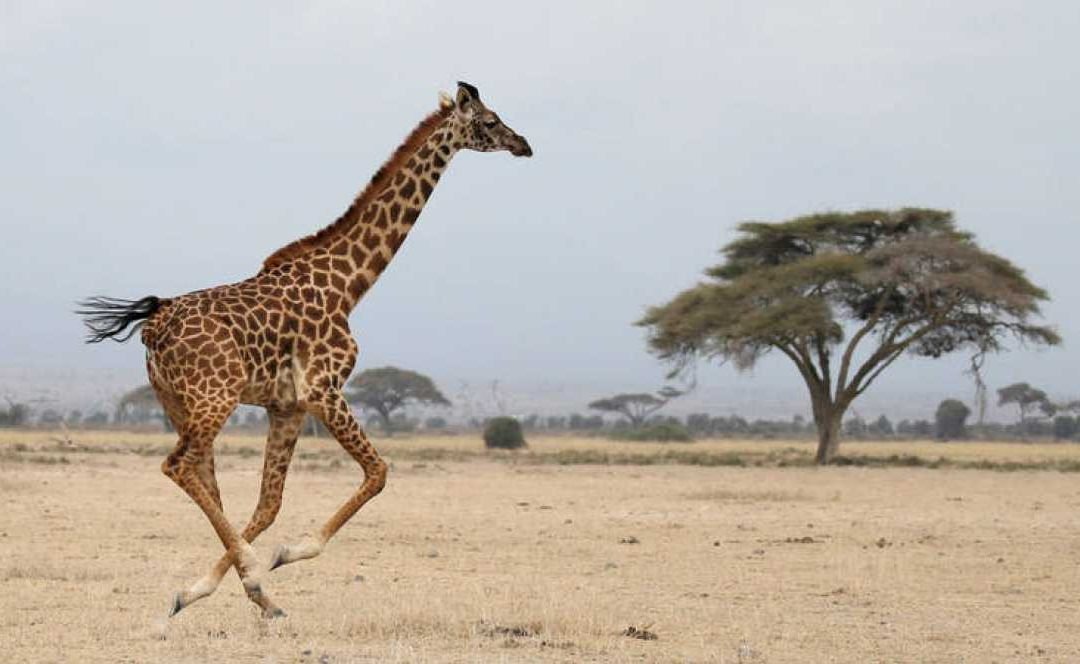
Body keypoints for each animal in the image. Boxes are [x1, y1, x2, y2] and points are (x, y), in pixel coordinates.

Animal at [77, 82, 532, 618]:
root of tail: (155, 324)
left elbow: (269, 504)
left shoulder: (287, 405)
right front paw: (278, 559)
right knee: (178, 466)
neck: (349, 284)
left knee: (204, 479)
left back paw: (226, 589)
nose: (524, 144)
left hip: (178, 403)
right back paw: (243, 574)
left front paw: (244, 585)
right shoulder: (323, 388)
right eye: (490, 120)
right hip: (214, 398)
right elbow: (377, 472)